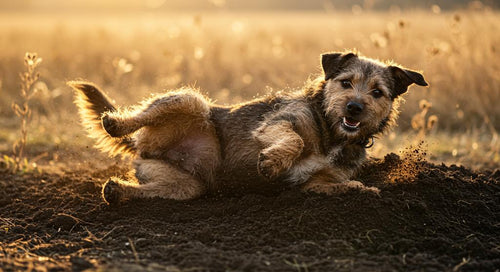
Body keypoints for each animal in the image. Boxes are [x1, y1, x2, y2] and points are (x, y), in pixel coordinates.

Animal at [68, 51, 428, 204]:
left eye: (377, 92)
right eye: (345, 82)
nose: (354, 107)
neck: (332, 133)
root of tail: (146, 149)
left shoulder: (315, 184)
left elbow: (338, 185)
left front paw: (364, 191)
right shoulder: (277, 124)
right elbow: (295, 140)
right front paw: (271, 162)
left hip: (183, 184)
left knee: (156, 189)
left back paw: (117, 191)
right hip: (190, 100)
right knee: (136, 116)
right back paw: (114, 121)